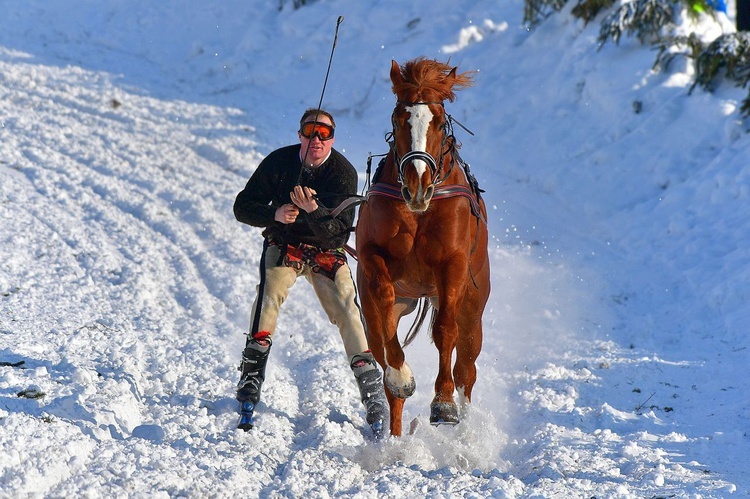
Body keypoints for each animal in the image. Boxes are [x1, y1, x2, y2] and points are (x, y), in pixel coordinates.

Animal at [358, 56, 494, 436]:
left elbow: (445, 330)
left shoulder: (454, 264)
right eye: (397, 117)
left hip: (473, 309)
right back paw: (394, 434)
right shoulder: (371, 255)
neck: (421, 210)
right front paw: (401, 377)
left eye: (440, 120)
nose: (417, 183)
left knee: (466, 368)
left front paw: (444, 403)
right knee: (381, 346)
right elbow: (383, 298)